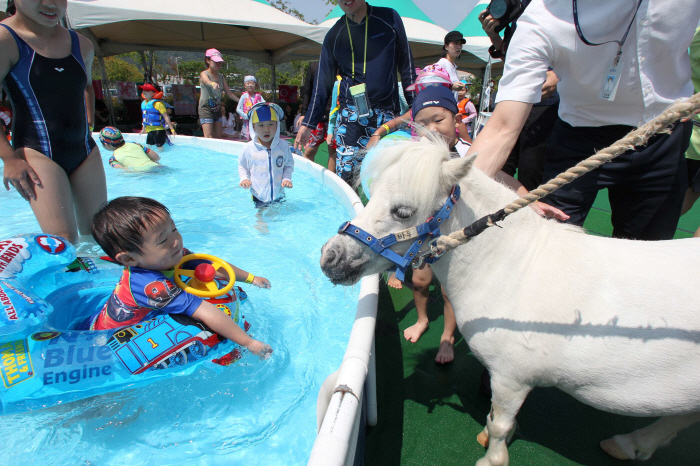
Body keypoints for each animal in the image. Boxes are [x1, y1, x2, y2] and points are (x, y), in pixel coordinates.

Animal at [320, 138, 700, 466]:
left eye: (402, 211)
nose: (329, 257)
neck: (513, 266)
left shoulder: (510, 378)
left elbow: (499, 423)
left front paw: (492, 458)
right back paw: (628, 444)